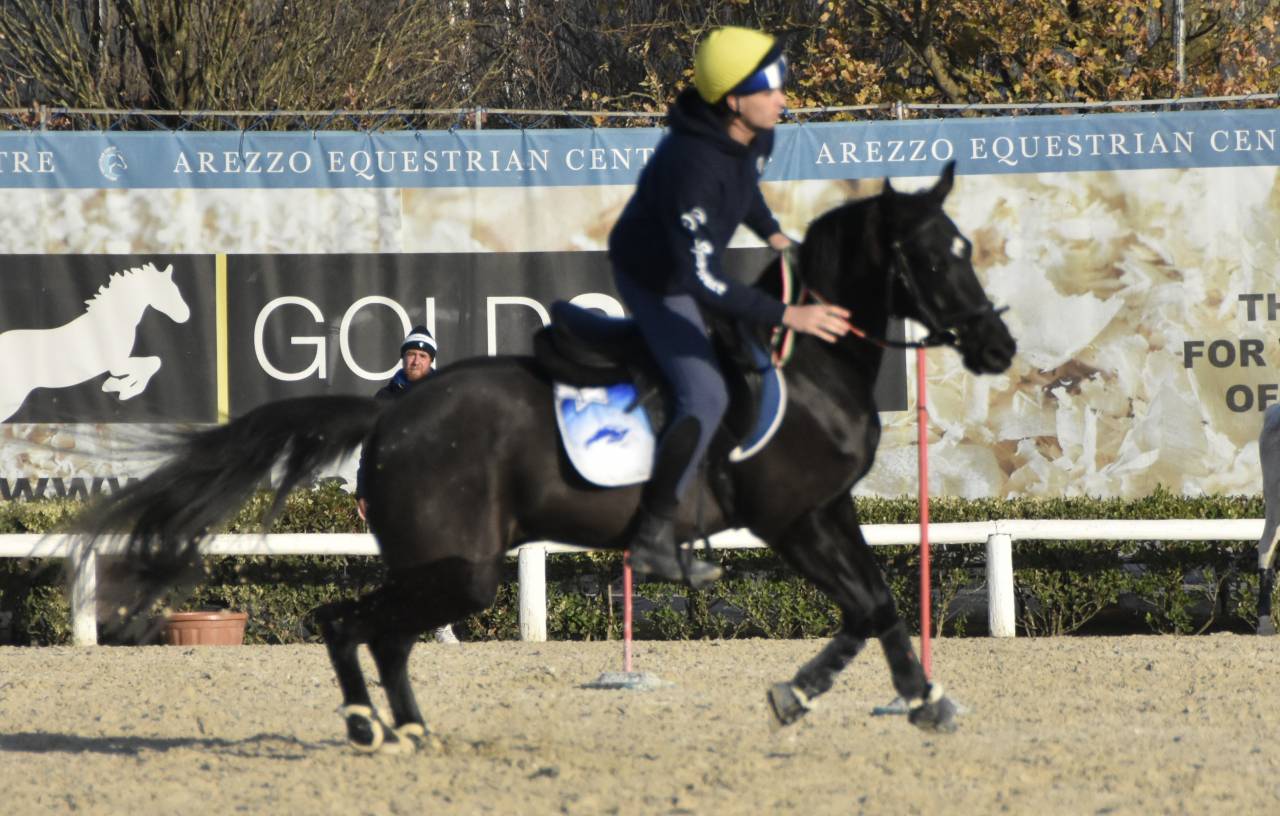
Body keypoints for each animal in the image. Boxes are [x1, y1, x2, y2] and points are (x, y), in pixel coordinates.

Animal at [0, 262, 190, 421]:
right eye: (166, 291)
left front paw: (115, 386)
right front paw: (121, 389)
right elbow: (153, 363)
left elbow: (153, 363)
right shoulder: (117, 364)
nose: (185, 316)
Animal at [74, 162, 1016, 752]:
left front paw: (913, 699)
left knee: (384, 637)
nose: (998, 347)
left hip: (448, 567)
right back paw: (367, 727)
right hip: (463, 570)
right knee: (345, 622)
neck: (807, 361)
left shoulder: (828, 511)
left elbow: (881, 604)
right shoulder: (789, 520)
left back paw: (410, 728)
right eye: (933, 256)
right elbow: (863, 606)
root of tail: (398, 408)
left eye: (967, 249)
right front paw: (812, 695)